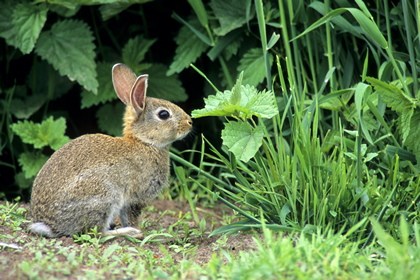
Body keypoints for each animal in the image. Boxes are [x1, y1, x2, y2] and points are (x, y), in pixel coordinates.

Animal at [28, 63, 193, 238]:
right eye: (163, 114)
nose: (190, 122)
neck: (144, 142)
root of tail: (51, 225)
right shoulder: (135, 198)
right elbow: (131, 216)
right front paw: (139, 231)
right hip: (103, 197)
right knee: (97, 232)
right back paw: (128, 231)